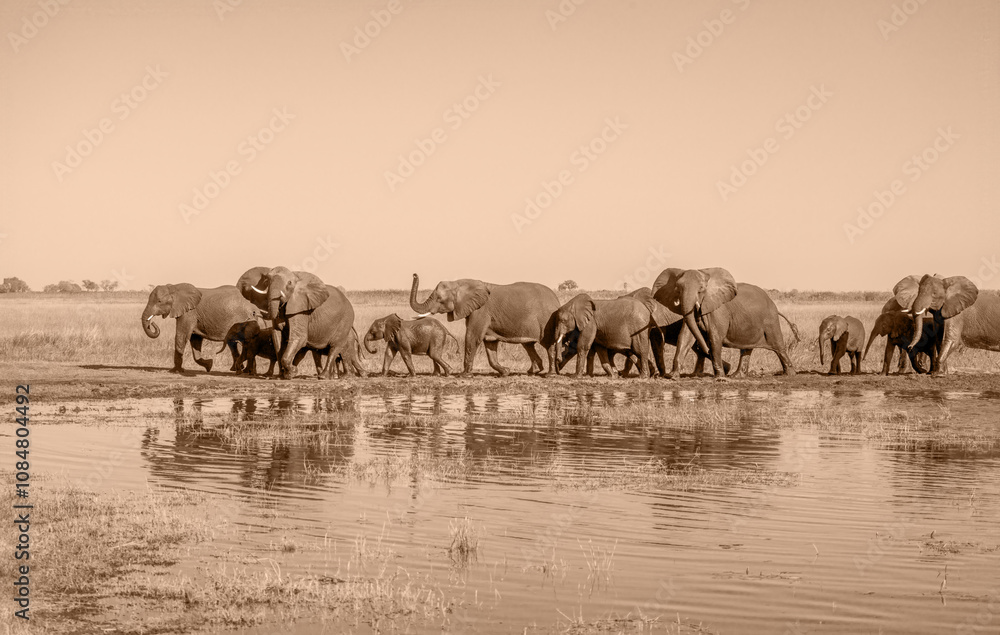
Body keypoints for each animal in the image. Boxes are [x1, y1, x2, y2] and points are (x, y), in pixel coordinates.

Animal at [409, 273, 560, 376]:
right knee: (529, 345)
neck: (460, 283)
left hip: (546, 320)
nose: (414, 274)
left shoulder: (480, 311)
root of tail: (557, 300)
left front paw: (464, 375)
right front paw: (505, 372)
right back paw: (532, 371)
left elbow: (472, 337)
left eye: (439, 299)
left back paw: (549, 374)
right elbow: (490, 343)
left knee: (548, 344)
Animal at [652, 268, 798, 379]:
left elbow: (715, 337)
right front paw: (672, 376)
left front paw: (720, 377)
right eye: (677, 288)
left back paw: (789, 374)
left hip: (770, 320)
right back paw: (737, 376)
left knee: (778, 345)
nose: (703, 348)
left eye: (701, 289)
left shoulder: (718, 310)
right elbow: (685, 336)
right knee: (746, 348)